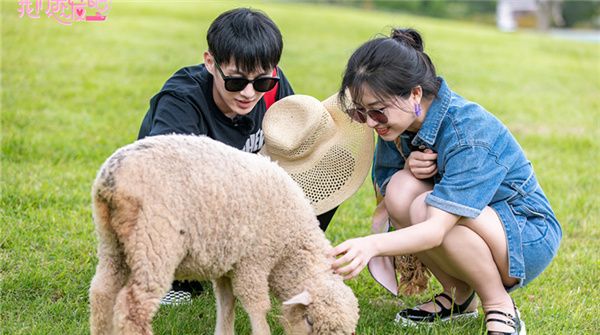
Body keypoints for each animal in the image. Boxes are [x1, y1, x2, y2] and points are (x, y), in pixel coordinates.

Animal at [88, 135, 358, 335]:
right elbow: (256, 304)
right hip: (154, 242)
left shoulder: (228, 263)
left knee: (102, 291)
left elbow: (227, 302)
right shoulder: (254, 260)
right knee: (133, 307)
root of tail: (111, 178)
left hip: (113, 241)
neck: (290, 249)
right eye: (310, 321)